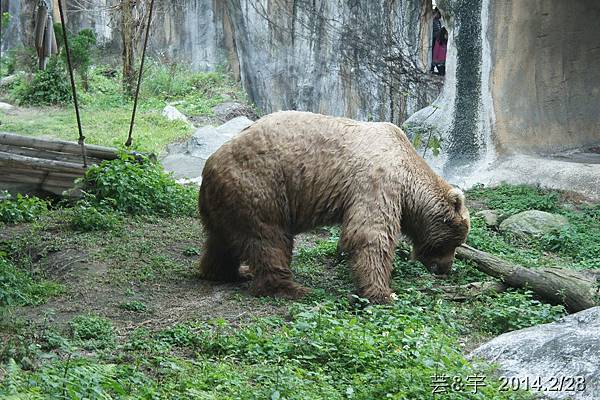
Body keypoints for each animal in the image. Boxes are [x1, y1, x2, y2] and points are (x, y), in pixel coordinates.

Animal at [199, 109, 472, 304]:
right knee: (269, 240)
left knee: (223, 240)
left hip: (228, 202)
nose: (444, 269)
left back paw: (226, 272)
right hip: (261, 187)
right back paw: (290, 288)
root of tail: (209, 166)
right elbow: (370, 234)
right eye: (454, 242)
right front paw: (384, 293)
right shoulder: (378, 181)